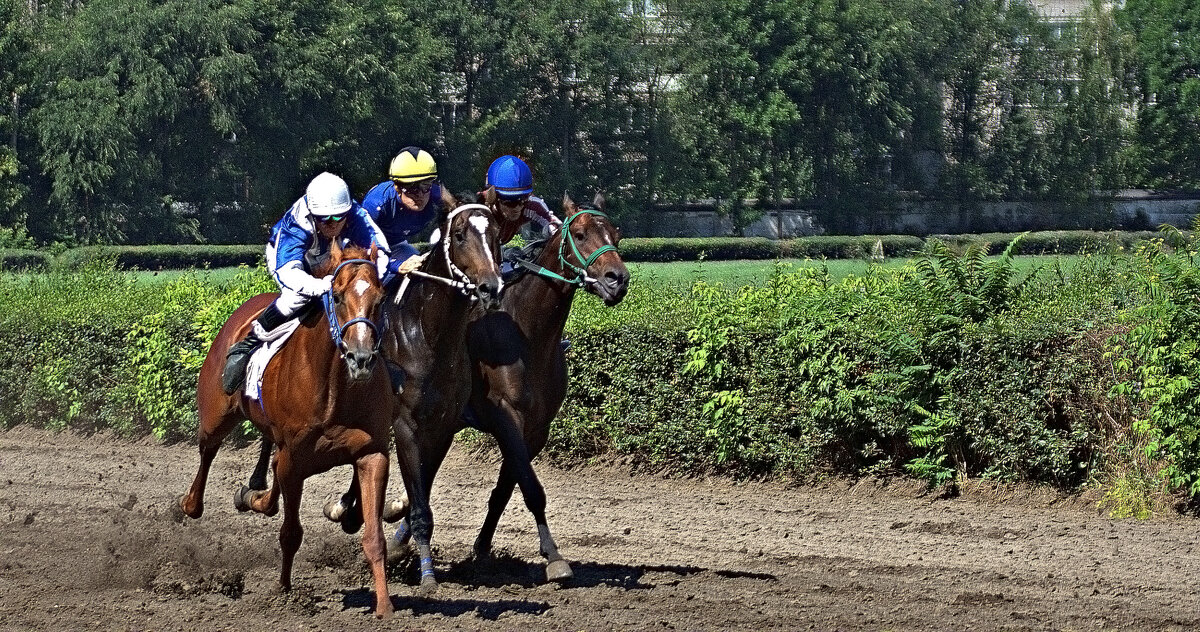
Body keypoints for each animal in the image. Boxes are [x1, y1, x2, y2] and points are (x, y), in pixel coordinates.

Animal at [177, 241, 393, 618]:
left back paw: (252, 495)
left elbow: (373, 537)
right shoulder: (296, 460)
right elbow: (291, 532)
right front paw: (284, 591)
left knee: (268, 468)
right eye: (337, 297)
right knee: (207, 450)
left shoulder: (372, 453)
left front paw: (385, 606)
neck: (336, 387)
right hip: (217, 415)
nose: (361, 358)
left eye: (380, 299)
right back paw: (191, 503)